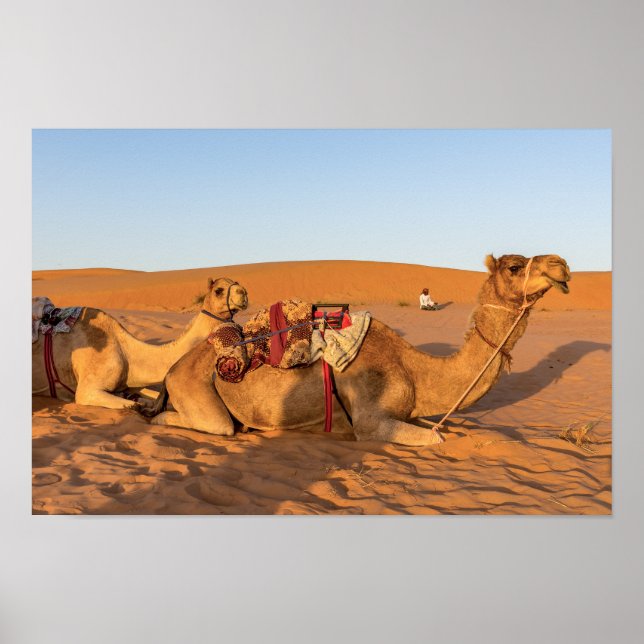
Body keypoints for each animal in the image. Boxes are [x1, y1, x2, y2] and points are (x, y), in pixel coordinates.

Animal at [32, 277, 248, 410]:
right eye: (219, 290)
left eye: (236, 283)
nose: (244, 293)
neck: (127, 353)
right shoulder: (87, 390)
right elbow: (135, 405)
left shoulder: (128, 385)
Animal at [143, 254, 570, 446]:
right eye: (515, 266)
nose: (562, 264)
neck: (415, 370)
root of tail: (173, 368)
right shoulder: (370, 419)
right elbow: (436, 438)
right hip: (197, 391)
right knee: (205, 424)